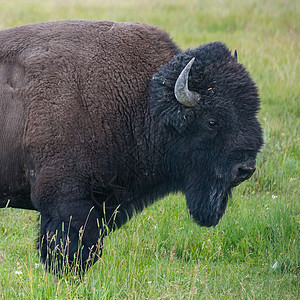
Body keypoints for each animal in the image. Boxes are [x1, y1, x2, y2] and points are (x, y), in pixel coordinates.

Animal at [0, 20, 262, 274]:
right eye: (212, 121)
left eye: (253, 113)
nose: (246, 168)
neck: (142, 99)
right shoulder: (65, 201)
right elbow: (75, 249)